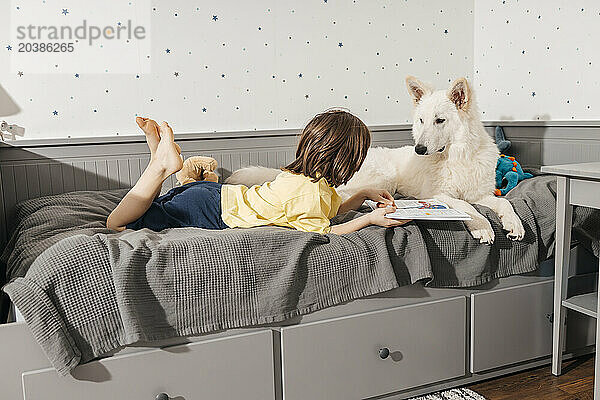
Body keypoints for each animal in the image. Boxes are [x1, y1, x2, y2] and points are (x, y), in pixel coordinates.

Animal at [226, 76, 524, 244]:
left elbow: (504, 203)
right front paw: (482, 226)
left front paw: (514, 224)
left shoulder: (482, 194)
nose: (419, 149)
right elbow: (466, 206)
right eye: (421, 120)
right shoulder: (439, 194)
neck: (457, 156)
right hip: (385, 178)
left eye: (440, 120)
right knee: (343, 197)